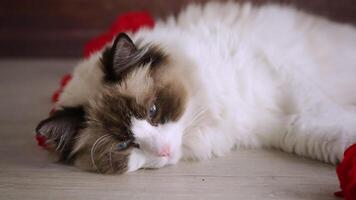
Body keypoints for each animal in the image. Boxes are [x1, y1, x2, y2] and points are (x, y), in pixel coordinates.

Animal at [35, 1, 356, 173]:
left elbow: (319, 110)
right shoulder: (279, 127)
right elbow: (328, 134)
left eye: (153, 111)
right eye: (123, 145)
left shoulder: (277, 72)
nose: (164, 151)